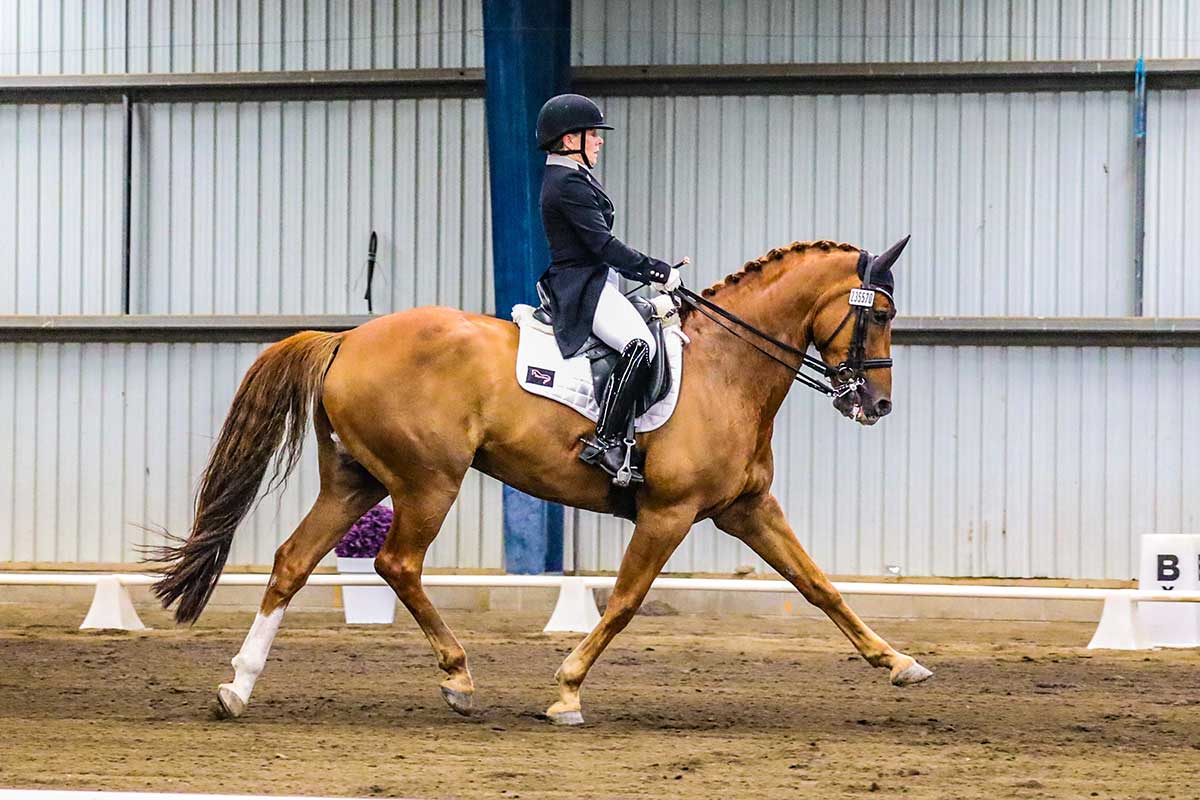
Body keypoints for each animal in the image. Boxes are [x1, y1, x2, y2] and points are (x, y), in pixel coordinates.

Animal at [150, 236, 931, 724]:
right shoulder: (670, 512)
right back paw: (458, 679)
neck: (727, 369)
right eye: (883, 314)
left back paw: (237, 688)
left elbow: (819, 585)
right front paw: (566, 692)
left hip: (355, 481)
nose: (877, 404)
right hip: (428, 480)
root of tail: (346, 338)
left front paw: (898, 663)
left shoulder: (747, 507)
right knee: (396, 563)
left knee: (292, 562)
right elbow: (623, 603)